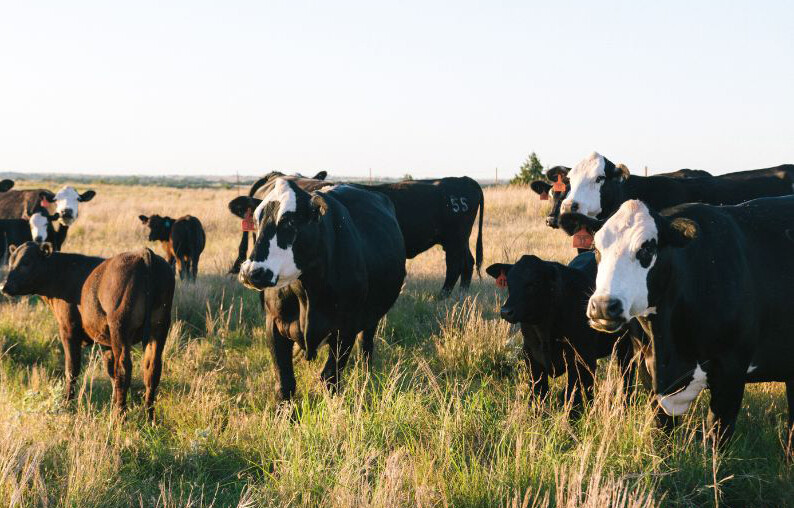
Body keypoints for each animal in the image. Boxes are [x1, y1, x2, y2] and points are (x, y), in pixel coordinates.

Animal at [1, 242, 175, 420]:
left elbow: (72, 370)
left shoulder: (68, 330)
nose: (4, 286)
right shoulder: (105, 341)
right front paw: (112, 403)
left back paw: (120, 417)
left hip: (120, 327)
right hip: (159, 328)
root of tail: (143, 253)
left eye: (26, 262)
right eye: (11, 260)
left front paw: (66, 405)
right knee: (151, 369)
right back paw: (149, 417)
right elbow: (109, 370)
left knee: (124, 369)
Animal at [232, 179, 406, 400]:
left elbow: (330, 378)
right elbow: (285, 383)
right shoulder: (274, 323)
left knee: (366, 346)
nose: (251, 272)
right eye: (256, 220)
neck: (305, 293)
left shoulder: (346, 328)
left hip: (372, 316)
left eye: (290, 222)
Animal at [482, 250, 632, 412]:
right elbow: (538, 394)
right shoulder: (531, 356)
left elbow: (572, 396)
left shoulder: (578, 357)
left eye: (534, 283)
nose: (506, 311)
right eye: (509, 283)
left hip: (626, 344)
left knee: (626, 374)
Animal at [568, 195, 794, 452]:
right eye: (596, 249)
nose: (604, 306)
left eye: (647, 248)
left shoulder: (732, 370)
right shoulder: (648, 372)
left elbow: (716, 442)